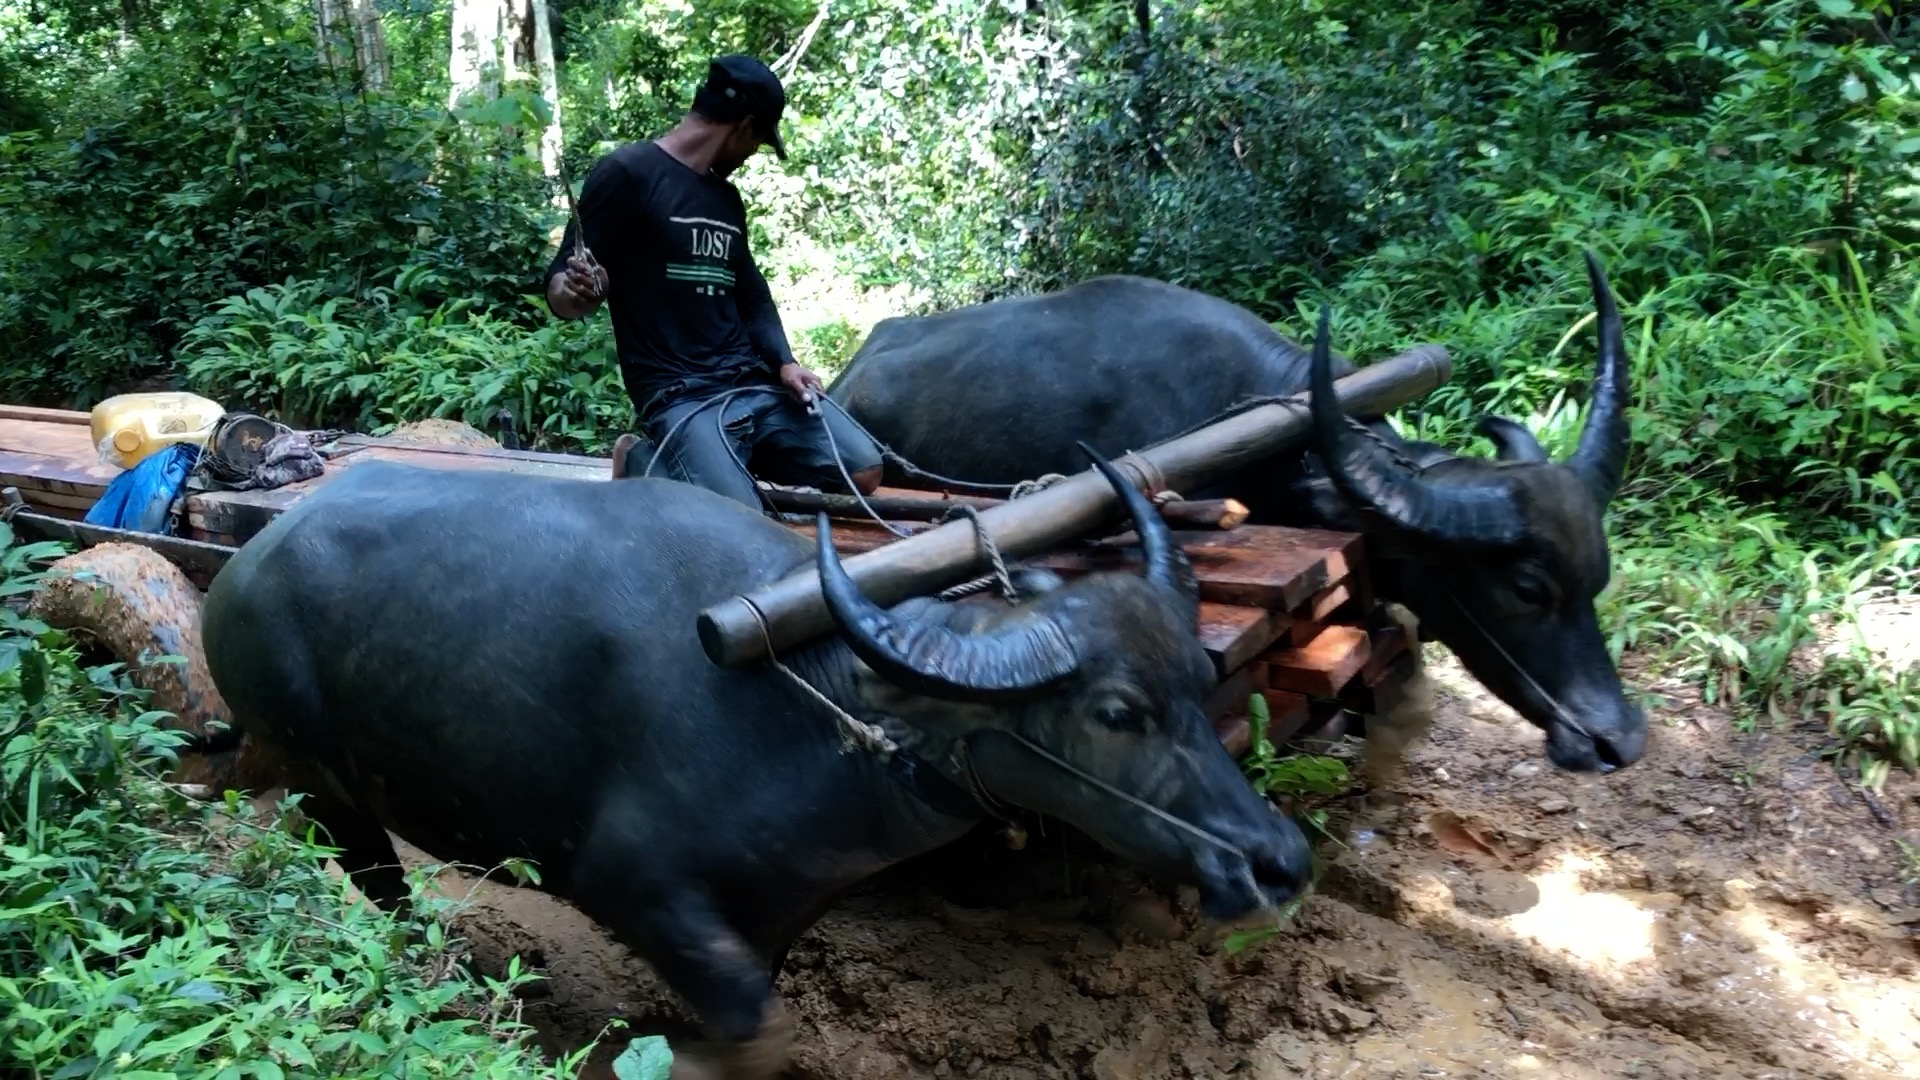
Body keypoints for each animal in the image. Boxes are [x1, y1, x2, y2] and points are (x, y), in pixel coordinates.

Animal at [194, 445, 1313, 1076]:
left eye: (1195, 678)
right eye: (1115, 712)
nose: (1279, 863)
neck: (814, 709)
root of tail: (242, 567)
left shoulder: (779, 909)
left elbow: (763, 1006)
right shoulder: (632, 885)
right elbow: (757, 1033)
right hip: (318, 772)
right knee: (369, 875)